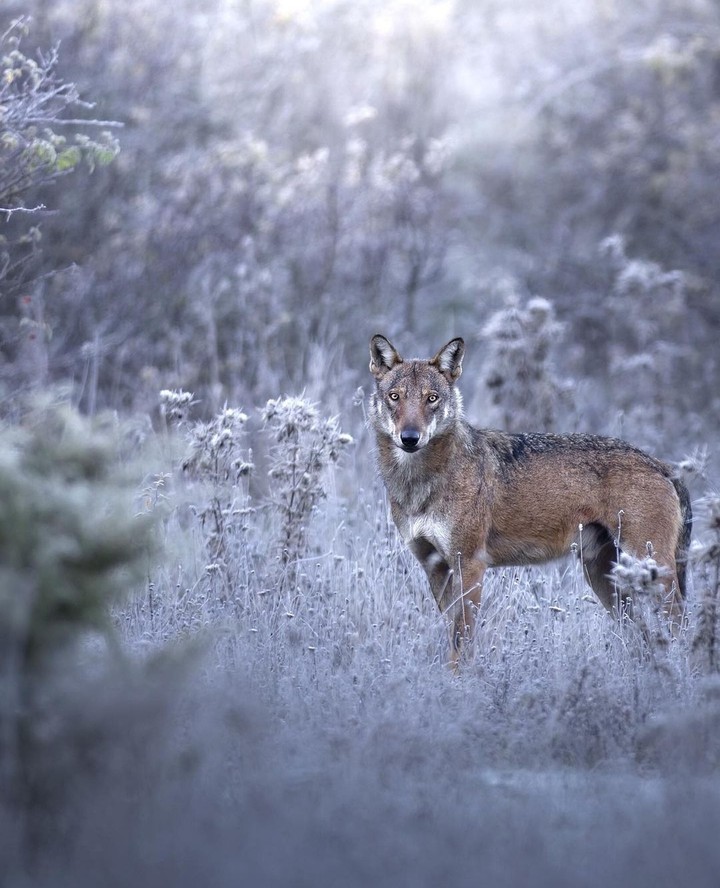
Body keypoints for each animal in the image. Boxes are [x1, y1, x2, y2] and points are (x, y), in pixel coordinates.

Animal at [368, 334, 692, 663]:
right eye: (395, 397)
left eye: (431, 399)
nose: (410, 438)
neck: (420, 483)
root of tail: (662, 465)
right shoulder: (434, 567)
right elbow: (452, 635)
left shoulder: (470, 564)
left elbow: (463, 640)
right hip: (605, 579)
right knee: (643, 636)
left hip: (651, 572)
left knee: (681, 624)